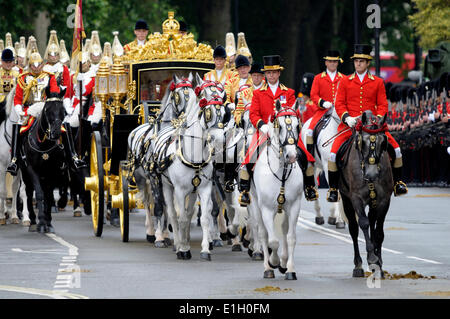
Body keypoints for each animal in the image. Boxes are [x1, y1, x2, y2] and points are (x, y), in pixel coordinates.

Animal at [19, 87, 67, 232]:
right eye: (47, 109)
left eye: (63, 110)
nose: (56, 133)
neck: (43, 144)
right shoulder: (32, 169)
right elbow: (39, 194)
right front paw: (40, 222)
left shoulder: (52, 171)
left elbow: (48, 195)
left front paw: (48, 222)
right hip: (25, 174)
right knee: (29, 193)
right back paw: (32, 221)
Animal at [250, 100, 302, 280]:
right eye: (279, 125)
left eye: (297, 125)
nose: (291, 156)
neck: (281, 172)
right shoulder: (266, 208)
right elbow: (272, 240)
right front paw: (273, 262)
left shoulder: (294, 206)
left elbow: (291, 237)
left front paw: (290, 268)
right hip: (255, 204)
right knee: (263, 233)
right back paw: (268, 267)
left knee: (285, 231)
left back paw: (284, 262)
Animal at [340, 111, 392, 278]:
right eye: (362, 142)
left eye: (383, 142)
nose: (371, 174)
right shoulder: (356, 198)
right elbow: (363, 223)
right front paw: (372, 258)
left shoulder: (383, 200)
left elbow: (378, 231)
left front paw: (379, 264)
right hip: (346, 199)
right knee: (354, 229)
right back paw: (358, 265)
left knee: (372, 222)